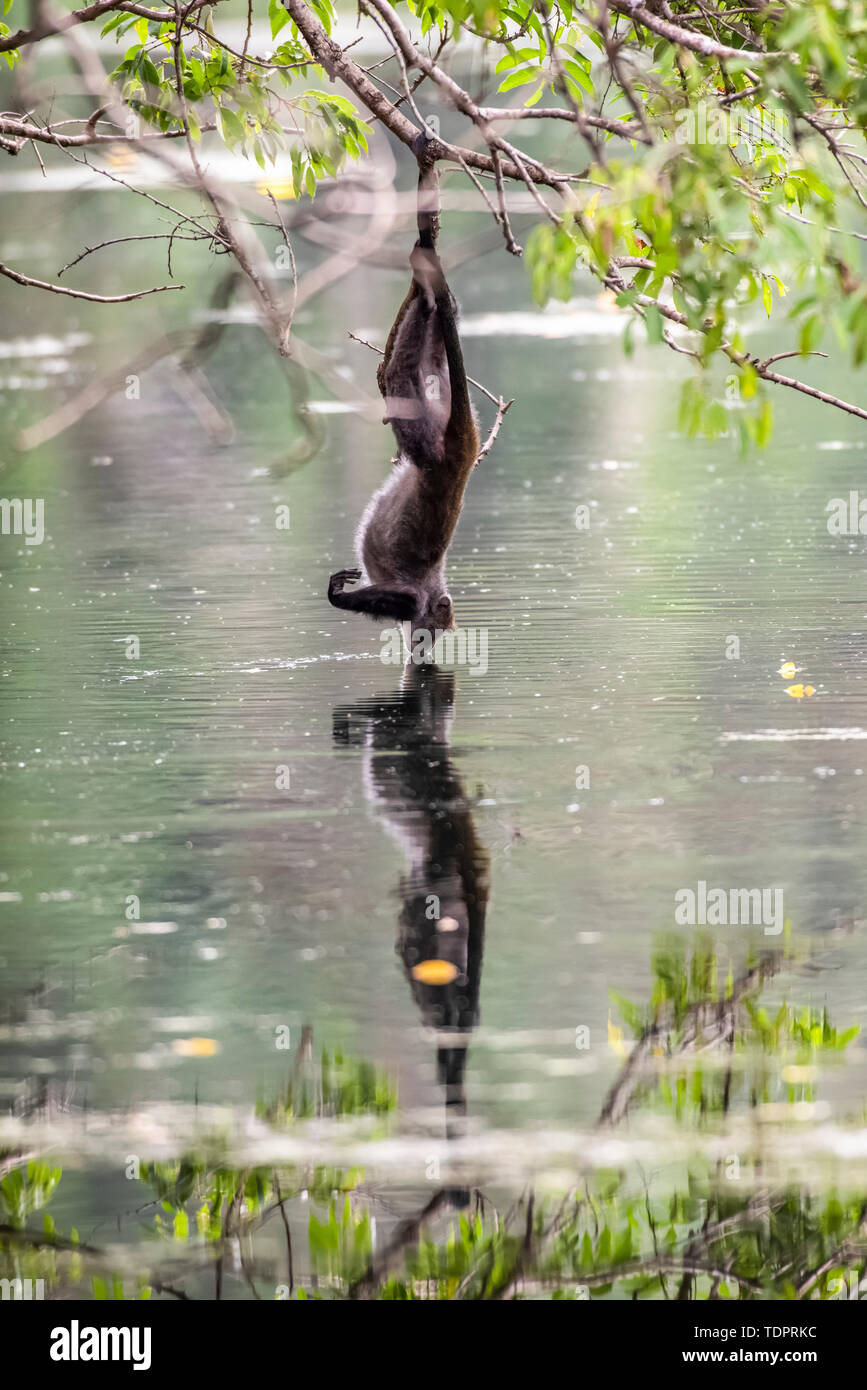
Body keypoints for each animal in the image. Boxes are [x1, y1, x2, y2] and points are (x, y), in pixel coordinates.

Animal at [326, 142, 480, 636]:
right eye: (432, 632)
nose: (421, 644)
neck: (434, 588)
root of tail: (462, 460)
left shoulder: (414, 600)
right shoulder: (417, 598)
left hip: (434, 423)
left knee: (415, 370)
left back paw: (427, 290)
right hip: (433, 446)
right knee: (407, 376)